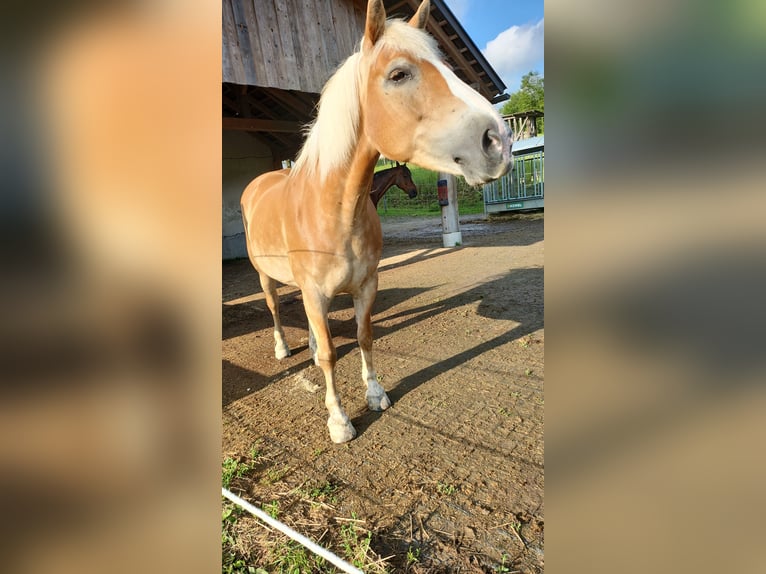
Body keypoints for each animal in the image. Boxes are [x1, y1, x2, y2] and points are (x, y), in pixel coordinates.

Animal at [243, 0, 512, 446]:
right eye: (399, 74)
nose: (498, 142)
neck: (336, 210)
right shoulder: (315, 293)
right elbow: (332, 353)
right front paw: (339, 421)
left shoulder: (366, 285)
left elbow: (364, 336)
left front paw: (375, 394)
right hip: (265, 276)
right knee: (275, 308)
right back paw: (284, 348)